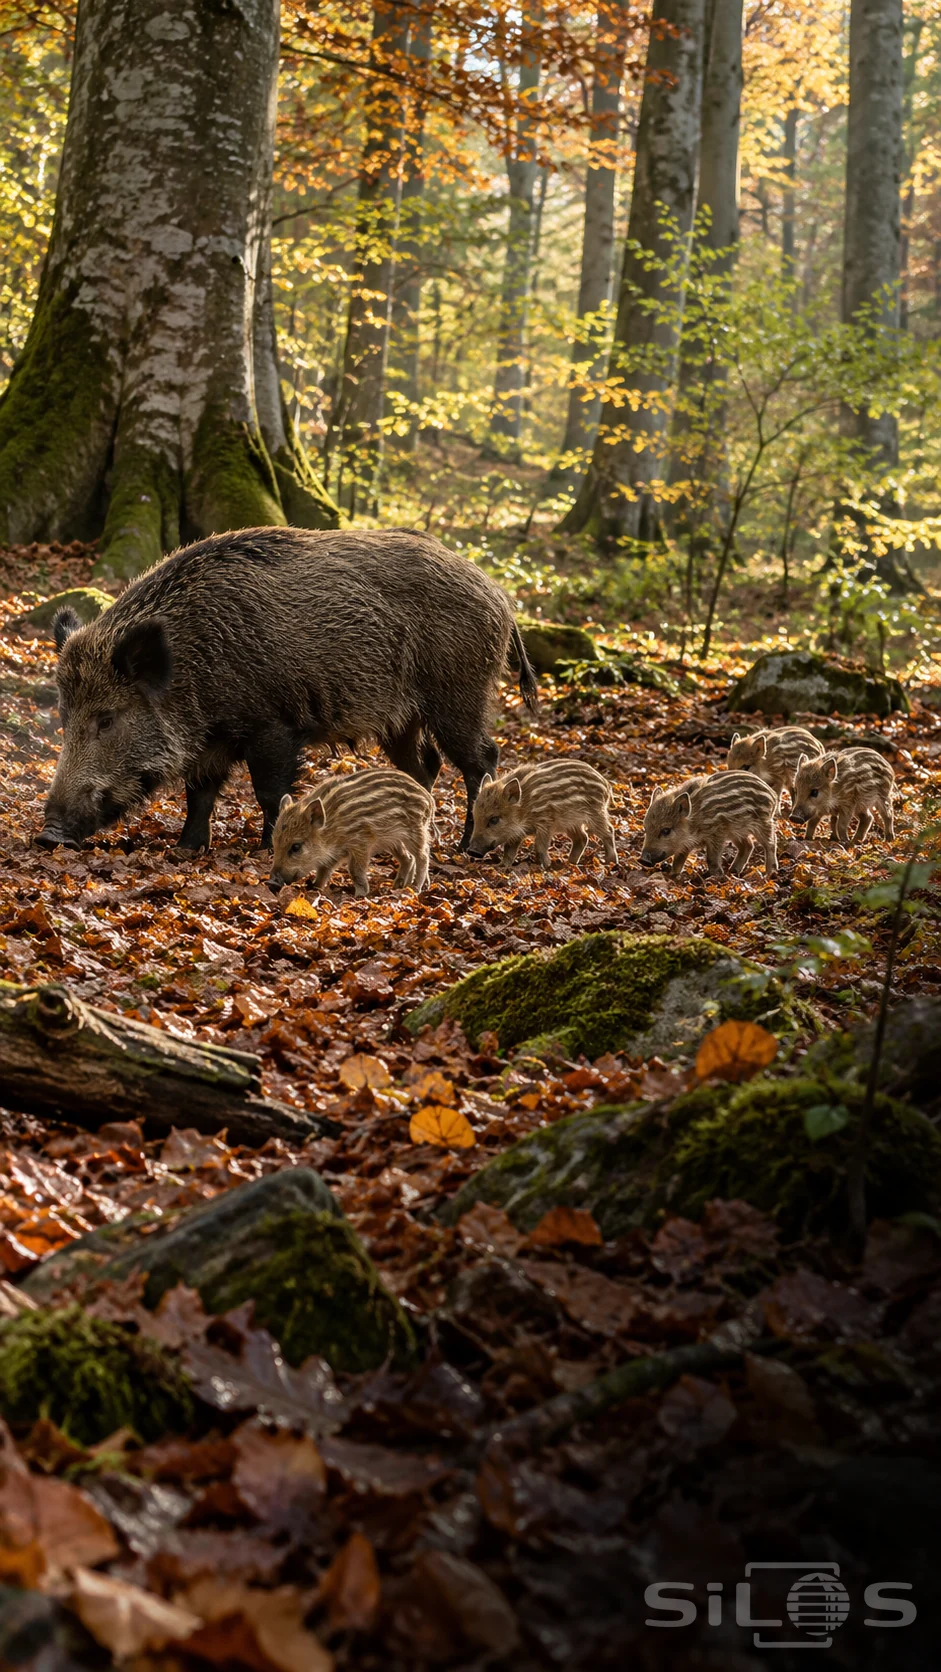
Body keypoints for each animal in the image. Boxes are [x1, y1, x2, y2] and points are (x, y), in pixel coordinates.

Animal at [39, 527, 538, 854]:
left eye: (107, 719)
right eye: (64, 716)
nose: (48, 834)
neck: (192, 665)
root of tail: (501, 597)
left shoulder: (272, 725)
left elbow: (268, 790)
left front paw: (265, 849)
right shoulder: (210, 737)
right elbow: (199, 792)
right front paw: (186, 850)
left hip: (459, 694)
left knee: (482, 758)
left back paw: (466, 847)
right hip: (400, 720)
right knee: (426, 765)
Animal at [271, 769, 436, 896]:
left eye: (296, 846)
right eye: (274, 843)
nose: (271, 882)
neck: (331, 827)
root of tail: (429, 798)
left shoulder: (361, 842)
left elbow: (355, 871)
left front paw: (360, 895)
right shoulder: (337, 851)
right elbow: (324, 868)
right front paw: (315, 887)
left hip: (415, 831)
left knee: (422, 855)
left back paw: (415, 888)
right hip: (392, 839)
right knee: (408, 858)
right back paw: (400, 886)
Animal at [466, 759, 616, 867]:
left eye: (494, 819)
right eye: (474, 816)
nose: (471, 851)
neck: (525, 806)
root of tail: (606, 783)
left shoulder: (546, 822)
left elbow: (539, 846)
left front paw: (546, 866)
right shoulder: (516, 832)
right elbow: (509, 849)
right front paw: (501, 866)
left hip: (596, 813)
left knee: (608, 831)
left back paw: (611, 862)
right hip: (572, 823)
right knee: (582, 838)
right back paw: (570, 863)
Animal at [641, 771, 778, 877]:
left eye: (666, 830)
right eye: (645, 829)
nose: (643, 860)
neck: (695, 820)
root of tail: (773, 793)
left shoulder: (717, 833)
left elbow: (711, 858)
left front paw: (717, 876)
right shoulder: (686, 844)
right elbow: (678, 860)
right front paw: (673, 875)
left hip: (763, 822)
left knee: (771, 843)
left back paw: (770, 872)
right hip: (737, 831)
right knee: (748, 845)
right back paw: (733, 871)